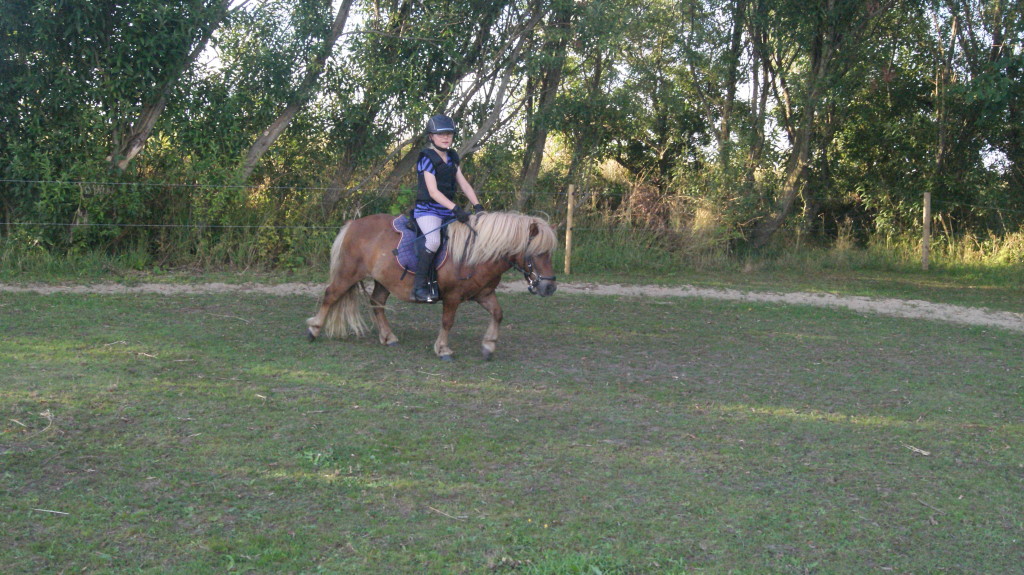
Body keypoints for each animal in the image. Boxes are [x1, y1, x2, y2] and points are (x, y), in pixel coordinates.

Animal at [305, 210, 561, 360]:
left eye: (550, 253)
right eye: (538, 253)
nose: (549, 288)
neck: (476, 254)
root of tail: (353, 224)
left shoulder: (484, 293)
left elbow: (498, 314)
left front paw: (488, 346)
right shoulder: (452, 296)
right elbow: (447, 322)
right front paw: (443, 349)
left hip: (383, 280)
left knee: (377, 303)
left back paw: (388, 337)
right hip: (349, 272)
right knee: (330, 295)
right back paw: (314, 330)